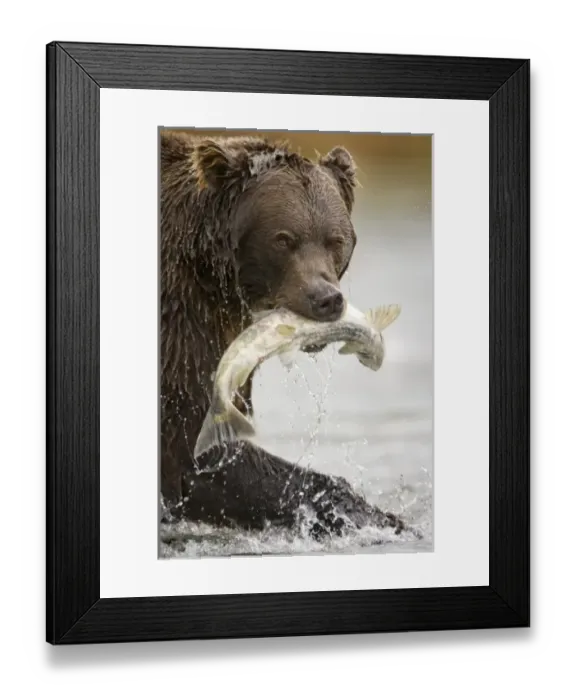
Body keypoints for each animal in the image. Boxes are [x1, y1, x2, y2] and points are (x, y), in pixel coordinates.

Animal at [160, 130, 404, 537]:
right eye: (284, 239)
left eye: (336, 240)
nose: (326, 299)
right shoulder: (181, 321)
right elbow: (194, 448)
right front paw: (376, 516)